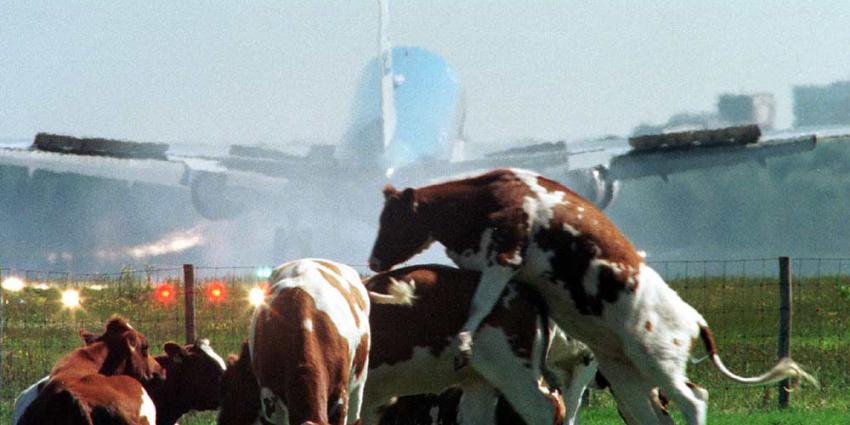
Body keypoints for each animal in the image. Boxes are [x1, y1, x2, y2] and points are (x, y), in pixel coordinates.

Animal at [368, 167, 820, 422]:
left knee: (694, 399)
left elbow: (481, 301)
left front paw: (463, 337)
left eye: (393, 220)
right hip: (625, 373)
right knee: (653, 416)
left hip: (655, 361)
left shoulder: (507, 252)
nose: (373, 261)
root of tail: (696, 318)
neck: (487, 193)